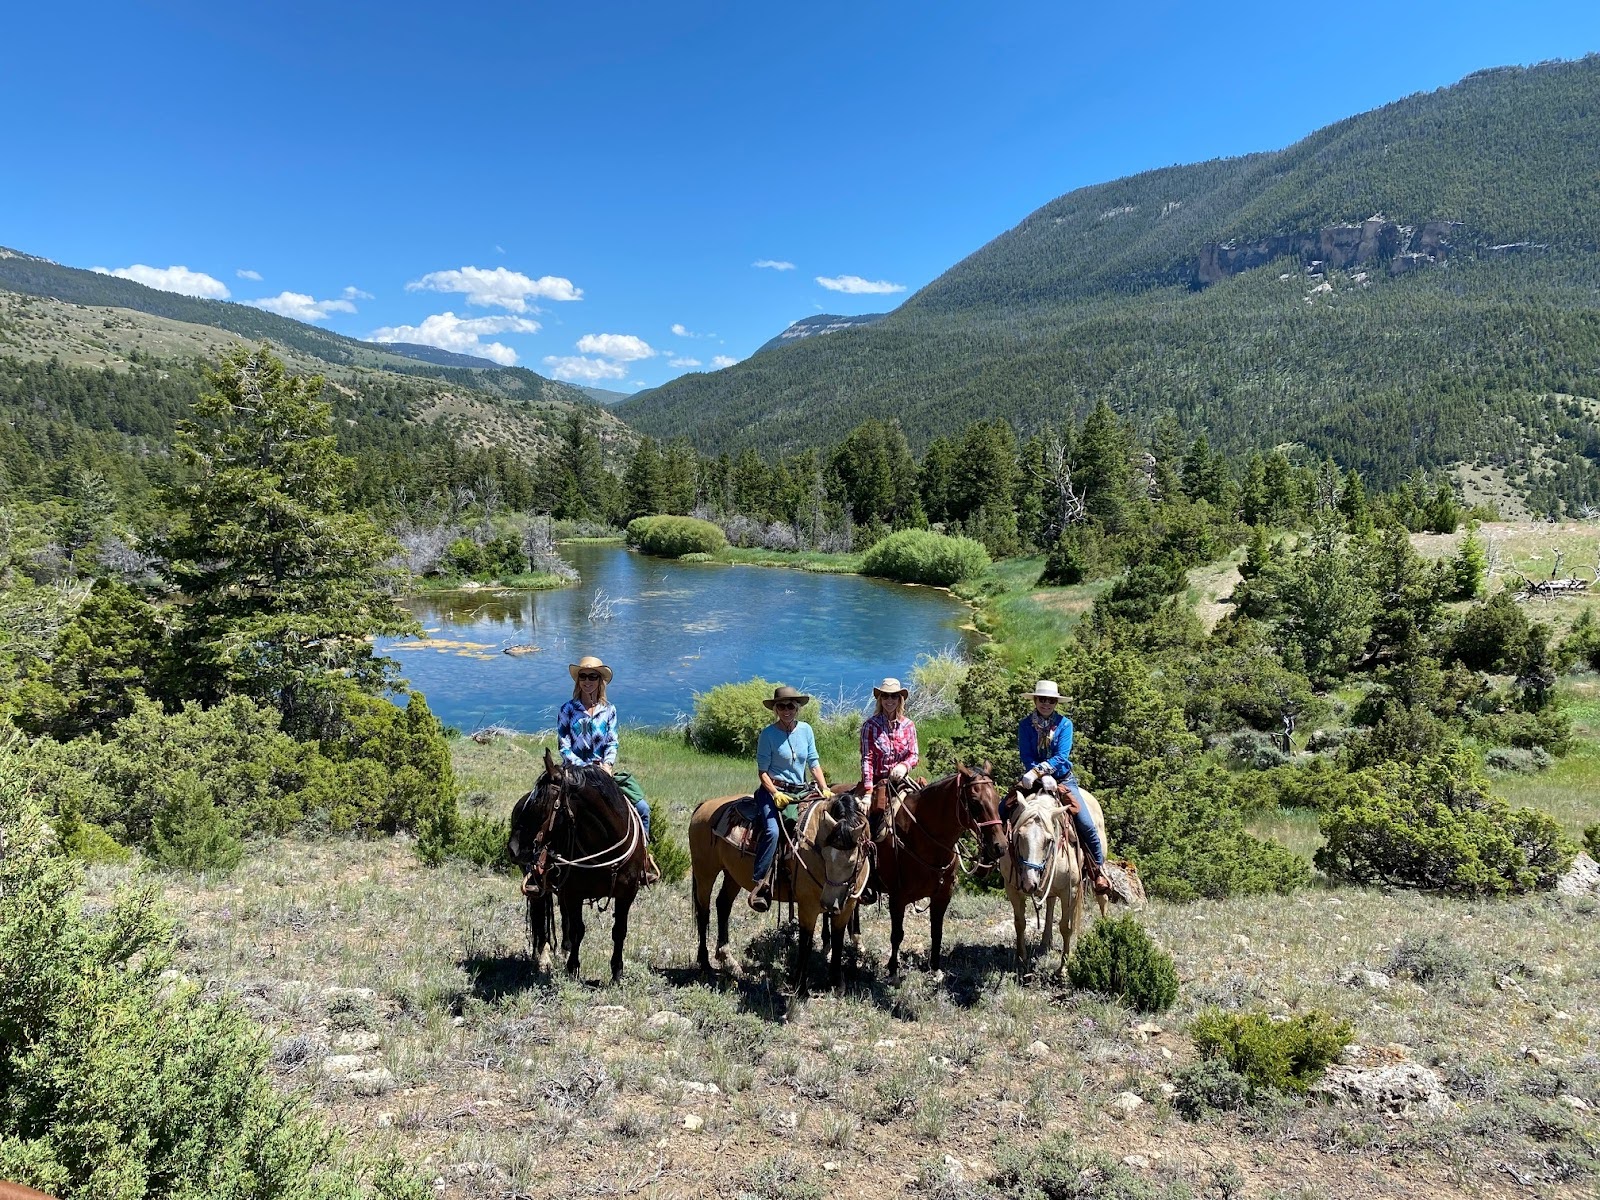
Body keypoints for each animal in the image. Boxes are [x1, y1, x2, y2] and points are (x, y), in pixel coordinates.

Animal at [508, 748, 649, 983]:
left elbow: (619, 931)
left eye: (541, 804)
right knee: (540, 917)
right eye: (530, 803)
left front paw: (617, 973)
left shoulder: (627, 892)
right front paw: (573, 969)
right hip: (539, 885)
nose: (514, 848)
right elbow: (578, 930)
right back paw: (542, 956)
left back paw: (564, 949)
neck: (606, 843)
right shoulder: (575, 892)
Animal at [688, 788, 872, 997]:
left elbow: (838, 940)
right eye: (825, 856)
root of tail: (704, 805)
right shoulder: (808, 906)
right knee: (703, 912)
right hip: (705, 871)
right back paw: (705, 963)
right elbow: (806, 942)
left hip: (732, 874)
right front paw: (800, 987)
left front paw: (837, 984)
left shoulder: (847, 906)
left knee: (723, 905)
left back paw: (728, 960)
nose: (829, 903)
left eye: (852, 861)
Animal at [873, 764, 1007, 979]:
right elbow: (897, 934)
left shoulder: (942, 896)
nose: (1000, 847)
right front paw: (893, 970)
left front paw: (935, 968)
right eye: (975, 803)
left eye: (996, 798)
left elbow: (937, 931)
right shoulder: (897, 897)